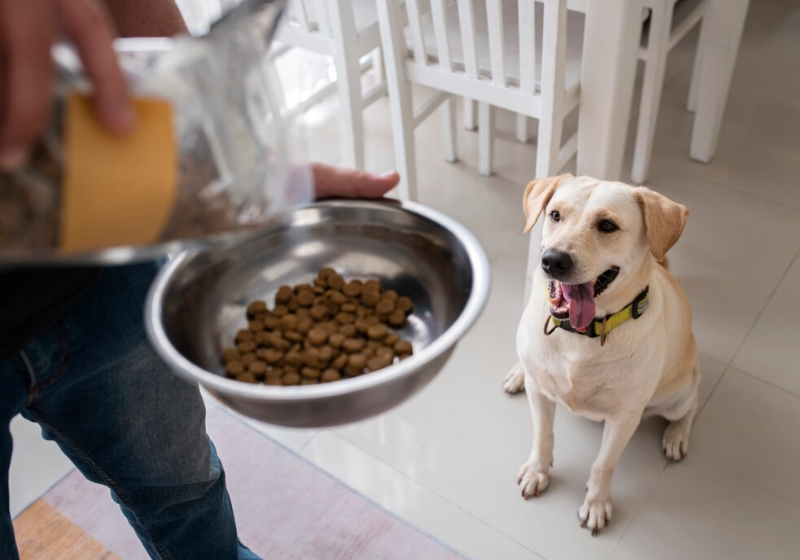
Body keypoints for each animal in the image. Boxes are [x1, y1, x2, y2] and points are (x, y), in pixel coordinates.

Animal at [506, 174, 700, 532]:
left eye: (607, 225)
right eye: (555, 214)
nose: (553, 260)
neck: (580, 335)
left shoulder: (624, 419)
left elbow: (603, 464)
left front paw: (597, 503)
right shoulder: (539, 393)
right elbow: (543, 435)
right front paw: (538, 471)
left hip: (677, 395)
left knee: (690, 407)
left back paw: (677, 435)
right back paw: (517, 372)